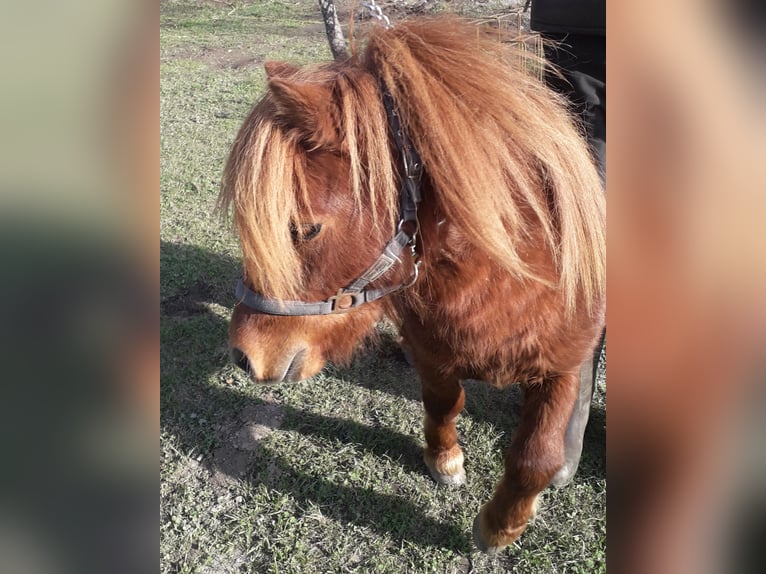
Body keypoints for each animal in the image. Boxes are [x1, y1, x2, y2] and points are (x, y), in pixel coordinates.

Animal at [220, 18, 608, 556]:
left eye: (308, 229)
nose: (243, 355)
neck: (504, 285)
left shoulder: (562, 366)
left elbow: (537, 456)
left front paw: (499, 527)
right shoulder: (432, 351)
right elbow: (444, 402)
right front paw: (445, 461)